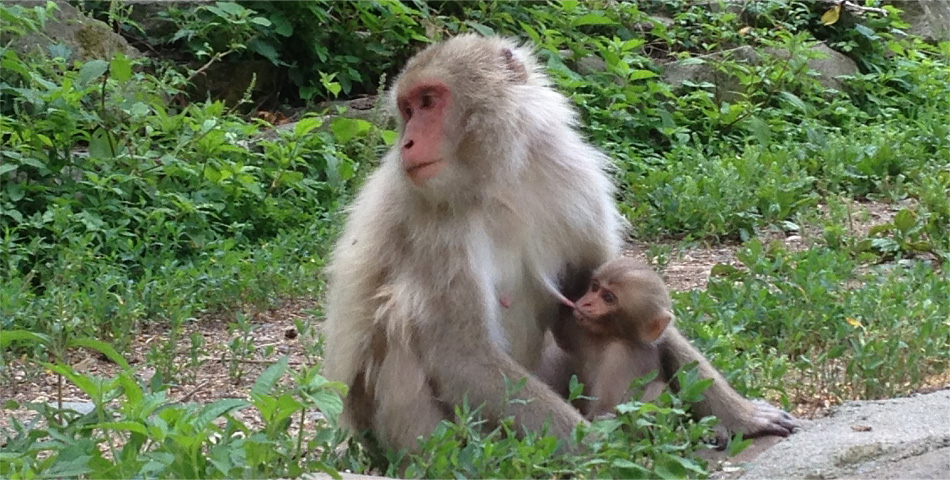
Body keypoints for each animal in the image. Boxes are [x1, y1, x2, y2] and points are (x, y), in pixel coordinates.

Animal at [544, 256, 676, 418]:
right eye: (595, 287)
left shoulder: (620, 356)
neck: (606, 336)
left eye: (608, 298)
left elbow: (605, 412)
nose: (586, 302)